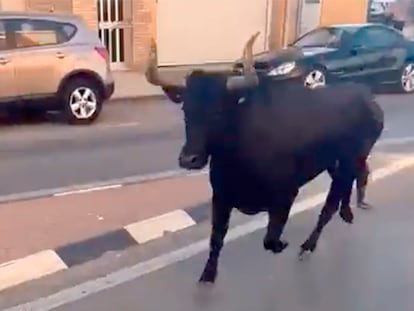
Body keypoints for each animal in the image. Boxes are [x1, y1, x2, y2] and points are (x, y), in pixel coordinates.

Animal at [162, 72, 384, 284]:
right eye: (185, 110)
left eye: (217, 111)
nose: (188, 159)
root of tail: (365, 93)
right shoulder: (220, 197)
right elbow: (216, 238)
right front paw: (207, 275)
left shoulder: (285, 194)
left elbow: (270, 238)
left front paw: (282, 244)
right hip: (337, 162)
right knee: (352, 181)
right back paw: (348, 213)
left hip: (352, 157)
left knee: (331, 203)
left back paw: (308, 245)